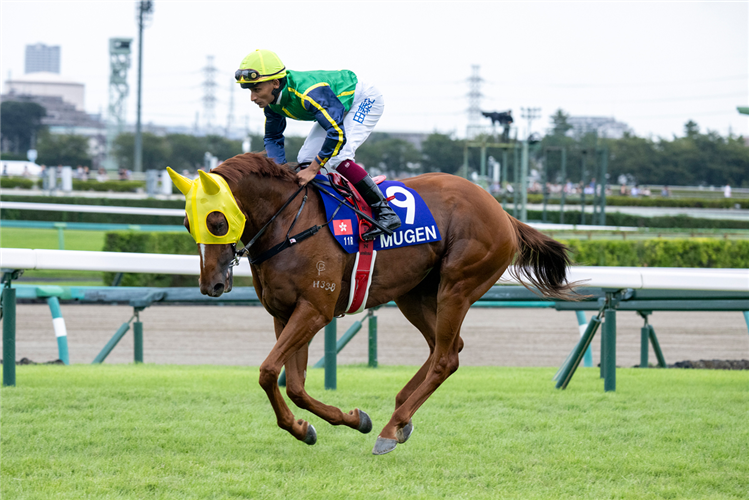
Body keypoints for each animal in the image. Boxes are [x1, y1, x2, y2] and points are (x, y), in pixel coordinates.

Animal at [187, 152, 572, 454]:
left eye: (217, 222)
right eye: (189, 224)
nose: (211, 284)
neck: (289, 223)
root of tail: (503, 213)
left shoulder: (315, 309)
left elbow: (268, 371)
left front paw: (322, 424)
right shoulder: (284, 313)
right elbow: (293, 385)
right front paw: (325, 424)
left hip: (458, 286)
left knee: (445, 358)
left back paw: (392, 428)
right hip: (413, 294)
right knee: (447, 346)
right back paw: (402, 416)